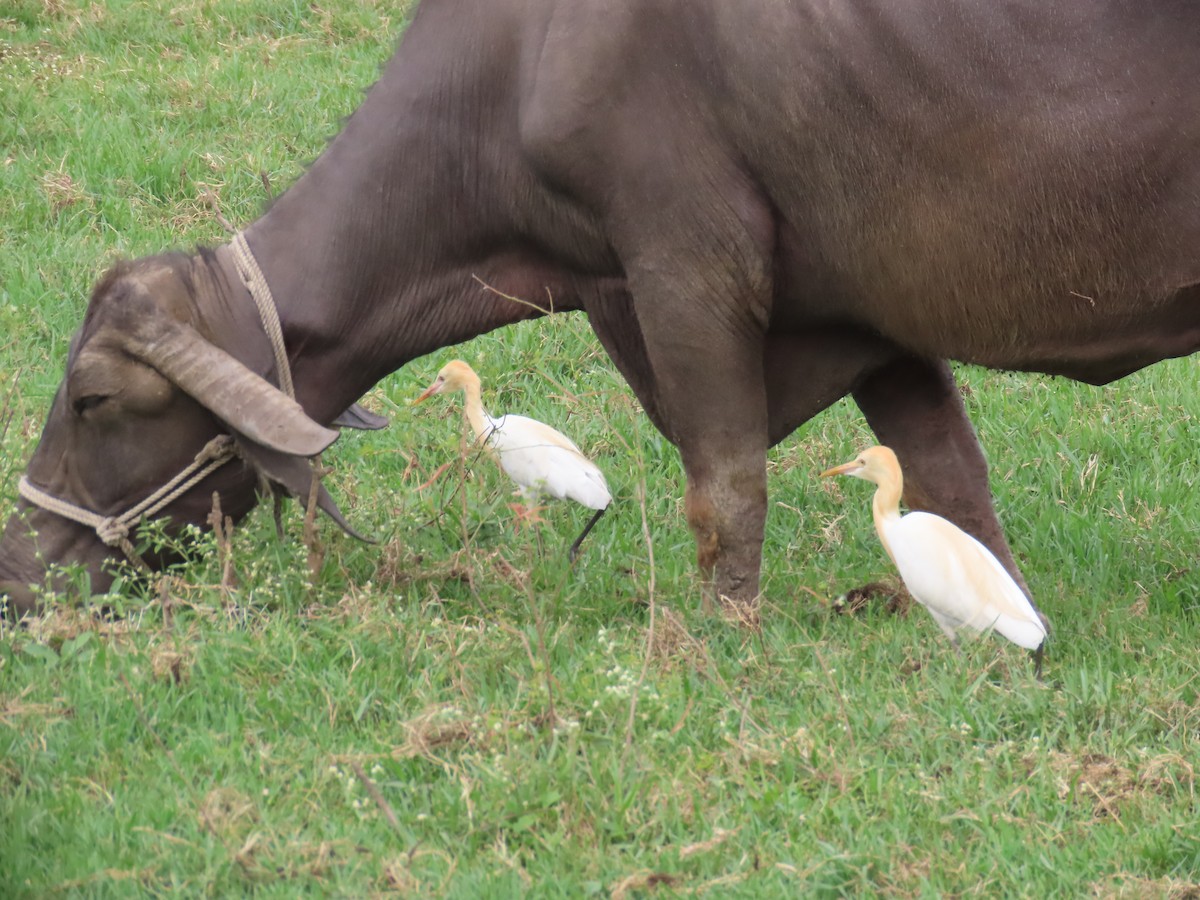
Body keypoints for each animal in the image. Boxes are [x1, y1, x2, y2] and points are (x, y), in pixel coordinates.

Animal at [2, 0, 1200, 619]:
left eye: (93, 396)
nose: (18, 574)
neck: (516, 65)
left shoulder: (684, 262)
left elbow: (726, 491)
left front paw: (719, 639)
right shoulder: (869, 318)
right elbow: (955, 488)